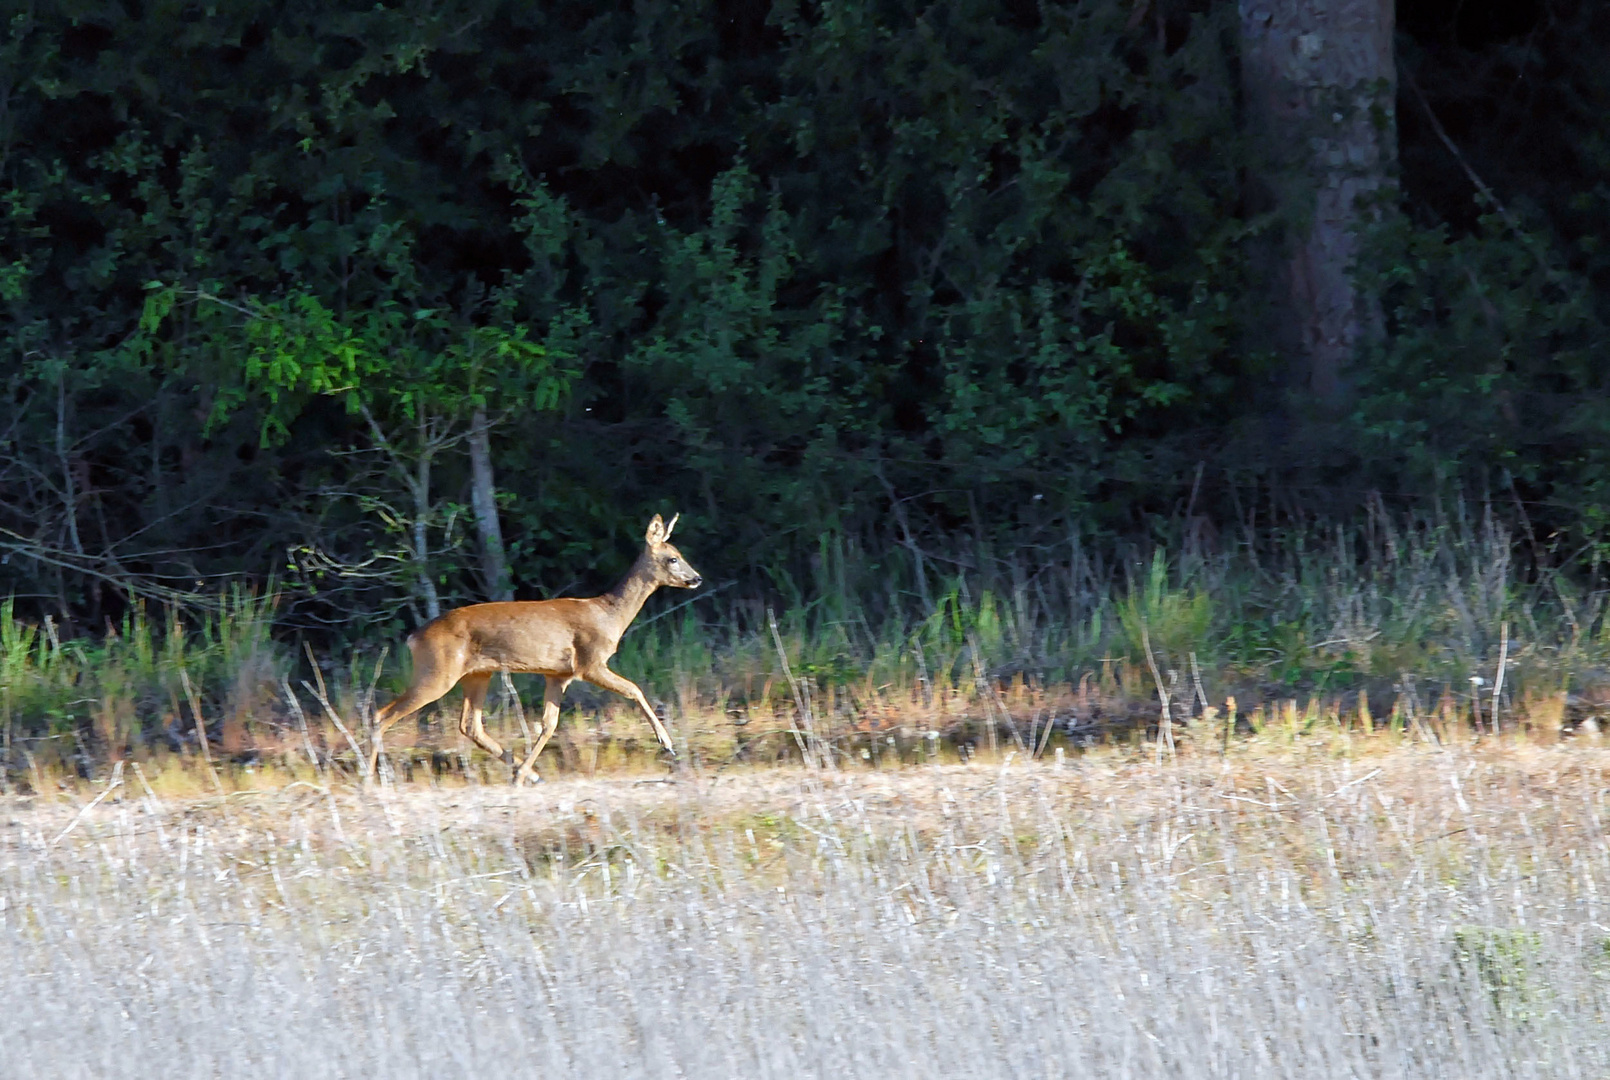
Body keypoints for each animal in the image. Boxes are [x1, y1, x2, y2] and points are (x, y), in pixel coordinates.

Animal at [368, 515, 701, 785]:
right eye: (673, 558)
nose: (696, 578)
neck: (609, 616)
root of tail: (414, 637)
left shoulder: (558, 674)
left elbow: (548, 724)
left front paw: (523, 773)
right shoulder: (589, 662)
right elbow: (634, 689)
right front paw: (666, 742)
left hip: (477, 673)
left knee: (469, 725)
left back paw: (529, 774)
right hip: (438, 671)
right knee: (382, 715)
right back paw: (372, 780)